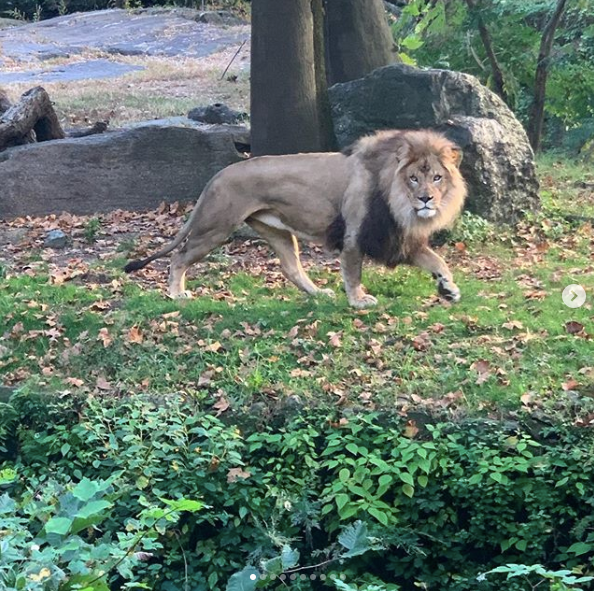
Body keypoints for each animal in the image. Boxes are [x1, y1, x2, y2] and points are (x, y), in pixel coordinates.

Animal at [126, 130, 468, 310]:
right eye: (413, 178)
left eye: (437, 178)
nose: (426, 199)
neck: (397, 202)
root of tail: (217, 175)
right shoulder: (355, 235)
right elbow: (353, 272)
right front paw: (358, 301)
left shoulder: (398, 238)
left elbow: (438, 261)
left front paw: (448, 289)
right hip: (216, 226)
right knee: (179, 256)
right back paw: (176, 293)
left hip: (277, 233)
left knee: (291, 269)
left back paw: (318, 293)